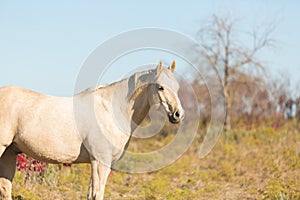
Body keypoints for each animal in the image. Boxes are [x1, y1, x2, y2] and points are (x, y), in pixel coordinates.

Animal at [0, 61, 184, 200]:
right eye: (160, 87)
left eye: (177, 87)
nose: (178, 114)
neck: (111, 110)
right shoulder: (100, 161)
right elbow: (97, 194)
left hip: (10, 153)